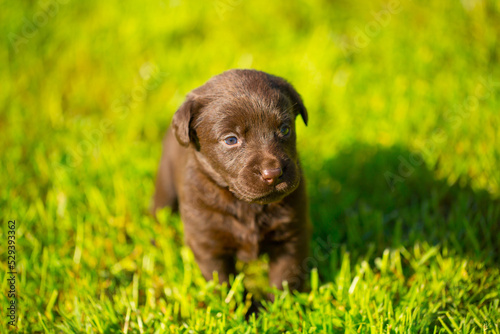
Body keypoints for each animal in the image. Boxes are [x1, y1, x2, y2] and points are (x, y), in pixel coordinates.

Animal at [150, 69, 310, 290]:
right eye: (231, 140)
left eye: (285, 129)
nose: (273, 173)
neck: (246, 206)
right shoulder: (208, 244)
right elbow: (221, 282)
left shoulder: (291, 237)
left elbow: (283, 279)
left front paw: (280, 300)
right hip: (165, 186)